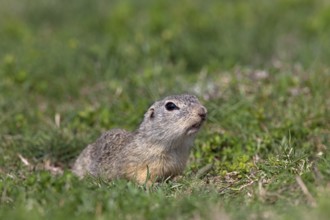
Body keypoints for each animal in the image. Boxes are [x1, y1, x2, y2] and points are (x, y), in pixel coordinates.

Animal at [72, 93, 206, 183]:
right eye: (170, 106)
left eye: (195, 98)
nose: (203, 112)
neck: (175, 145)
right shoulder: (139, 164)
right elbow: (140, 176)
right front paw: (152, 185)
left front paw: (180, 178)